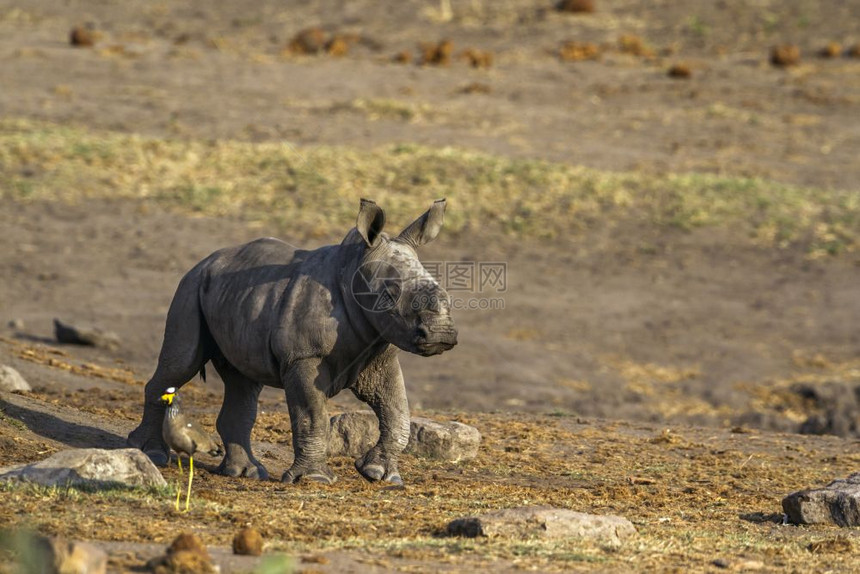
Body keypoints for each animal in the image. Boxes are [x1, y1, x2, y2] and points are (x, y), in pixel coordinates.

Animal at [127, 200, 456, 488]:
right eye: (389, 294)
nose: (440, 334)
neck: (354, 269)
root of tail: (204, 260)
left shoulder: (379, 352)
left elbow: (398, 413)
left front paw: (380, 475)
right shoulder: (304, 356)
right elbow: (313, 417)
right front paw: (316, 480)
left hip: (232, 296)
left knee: (242, 383)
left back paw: (246, 473)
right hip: (190, 286)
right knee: (182, 364)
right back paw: (151, 453)